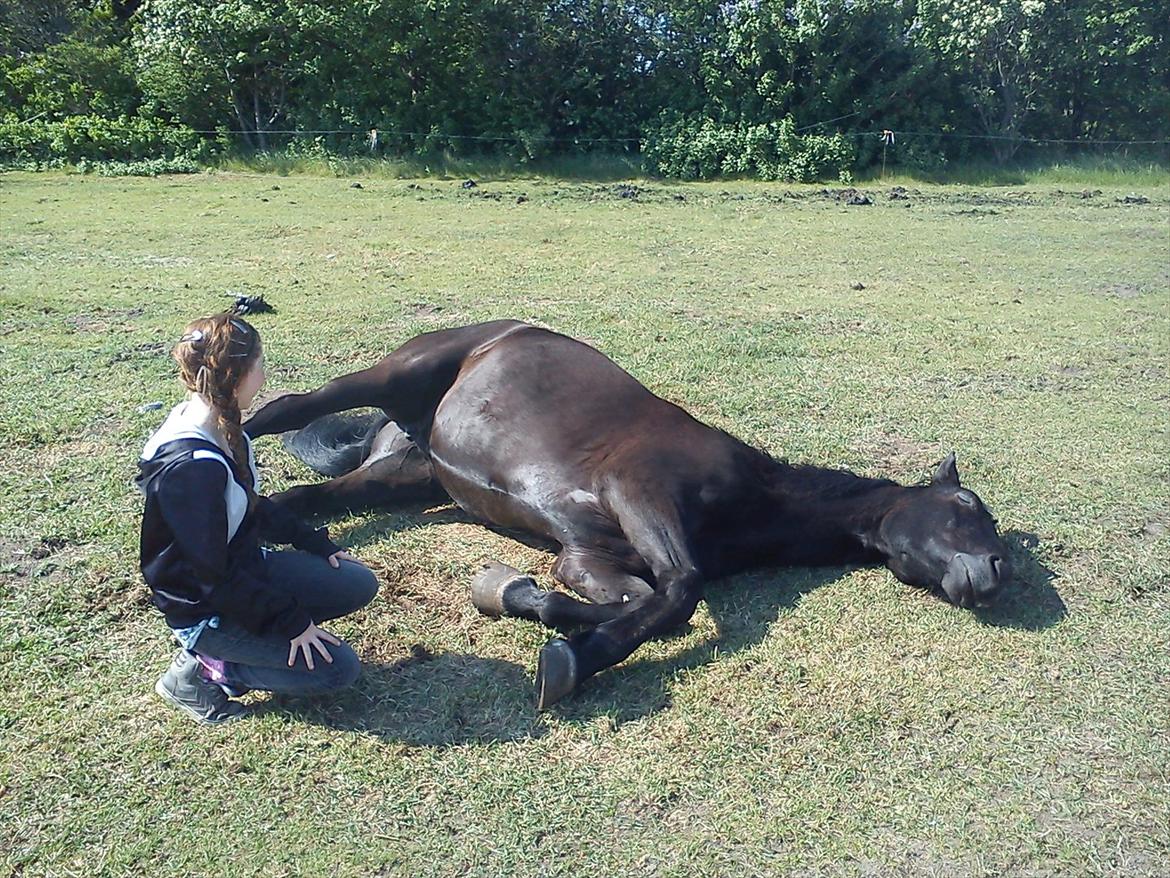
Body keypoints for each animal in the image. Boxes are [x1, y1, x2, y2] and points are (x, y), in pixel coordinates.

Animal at [242, 320, 1010, 707]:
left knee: (298, 502)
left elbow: (635, 600)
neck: (750, 495)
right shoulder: (637, 490)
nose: (997, 571)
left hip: (408, 473)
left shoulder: (587, 553)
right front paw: (570, 663)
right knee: (280, 411)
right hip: (394, 375)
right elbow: (679, 596)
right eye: (966, 504)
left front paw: (522, 602)